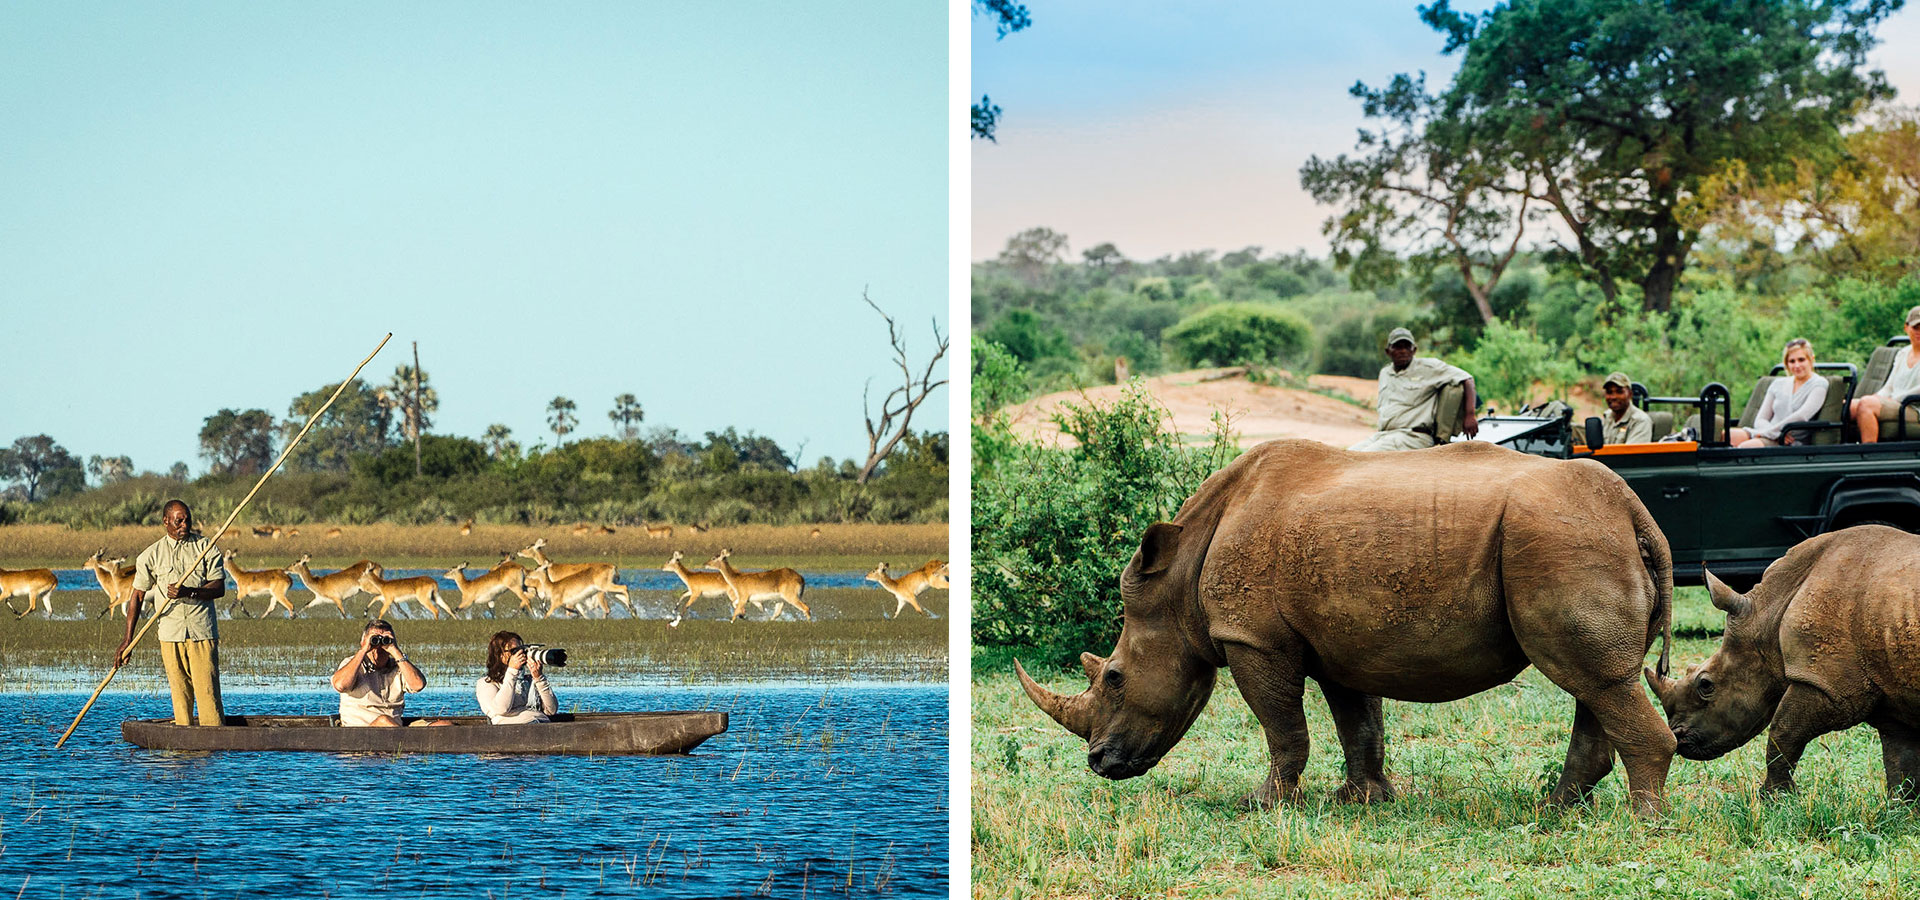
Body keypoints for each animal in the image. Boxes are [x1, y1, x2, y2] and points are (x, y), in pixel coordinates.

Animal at [1018, 440, 1679, 813]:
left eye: (1115, 679)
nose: (1099, 764)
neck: (1177, 584)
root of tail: (1635, 512)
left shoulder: (1253, 638)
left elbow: (1283, 726)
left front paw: (1262, 805)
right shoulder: (1339, 637)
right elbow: (1357, 723)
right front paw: (1363, 800)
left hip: (1560, 539)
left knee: (1597, 680)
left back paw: (1639, 820)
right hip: (1577, 537)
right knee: (1599, 682)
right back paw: (1555, 810)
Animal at [1645, 525, 1920, 800]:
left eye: (1705, 684)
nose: (1678, 738)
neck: (1769, 614)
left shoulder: (1828, 686)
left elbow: (1783, 732)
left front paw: (1774, 798)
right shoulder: (1891, 691)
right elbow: (1900, 760)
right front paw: (1901, 804)